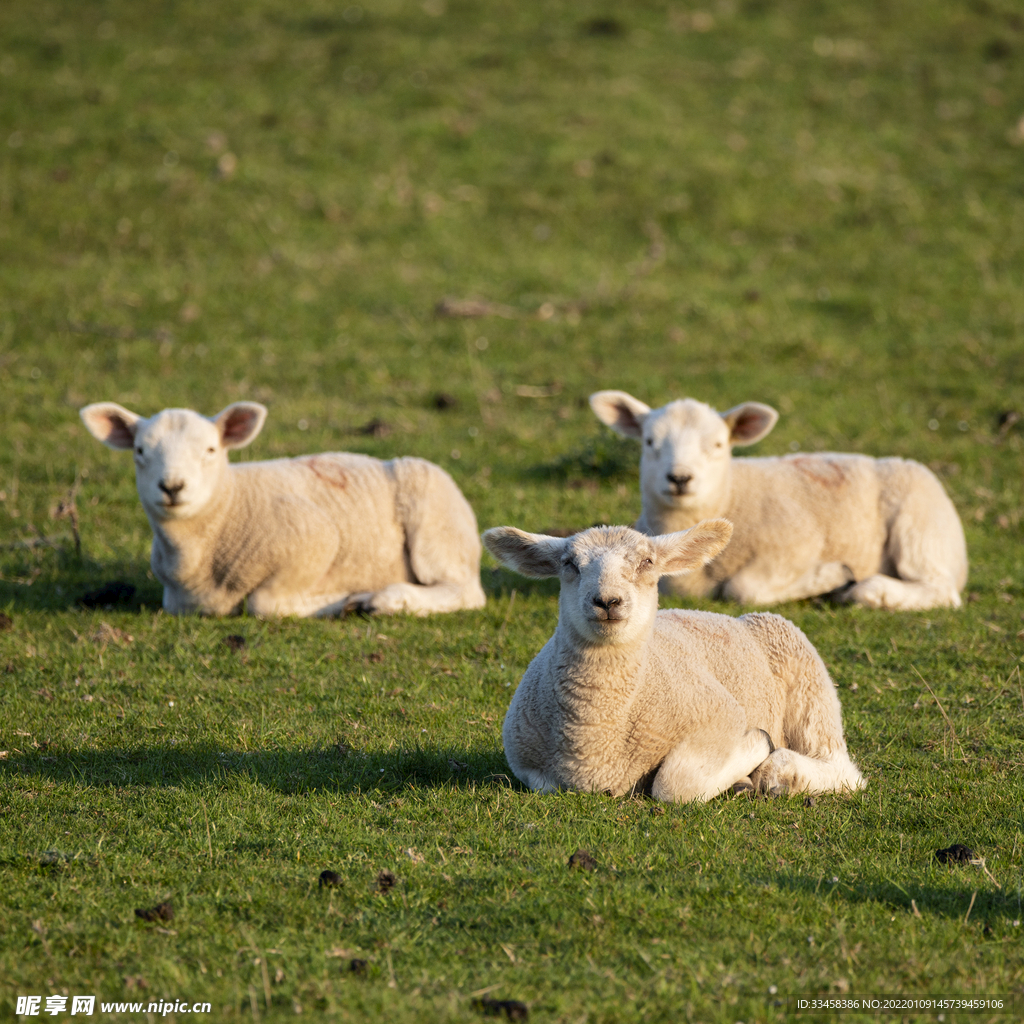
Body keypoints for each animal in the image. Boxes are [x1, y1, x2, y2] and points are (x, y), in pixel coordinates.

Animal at [79, 399, 487, 614]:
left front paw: (340, 601)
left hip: (437, 527)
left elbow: (264, 604)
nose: (172, 486)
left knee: (464, 591)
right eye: (139, 451)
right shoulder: (178, 601)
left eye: (210, 450)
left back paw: (385, 598)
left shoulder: (316, 539)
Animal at [481, 524, 864, 802]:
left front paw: (756, 748)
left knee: (842, 768)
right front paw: (740, 778)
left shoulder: (722, 714)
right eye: (569, 564)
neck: (594, 739)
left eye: (647, 562)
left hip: (807, 679)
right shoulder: (528, 764)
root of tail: (733, 618)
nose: (607, 601)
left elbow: (673, 785)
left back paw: (780, 772)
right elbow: (544, 783)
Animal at [589, 387, 962, 610]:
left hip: (919, 529)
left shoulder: (800, 543)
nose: (680, 478)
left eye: (718, 445)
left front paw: (832, 576)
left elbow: (744, 589)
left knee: (942, 589)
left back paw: (870, 590)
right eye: (649, 442)